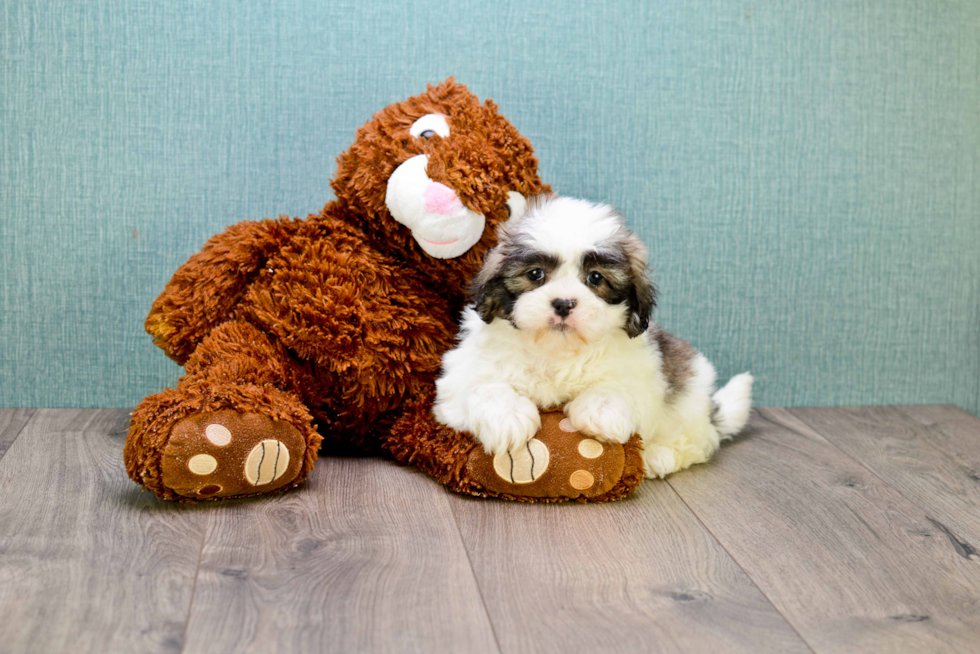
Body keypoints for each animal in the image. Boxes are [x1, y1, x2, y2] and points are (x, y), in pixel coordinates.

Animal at [432, 192, 756, 480]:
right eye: (535, 274)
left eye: (595, 278)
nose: (564, 303)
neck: (556, 351)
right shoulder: (458, 377)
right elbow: (483, 385)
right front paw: (508, 417)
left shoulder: (644, 374)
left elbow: (617, 386)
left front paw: (601, 411)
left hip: (691, 397)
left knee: (698, 441)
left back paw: (658, 456)